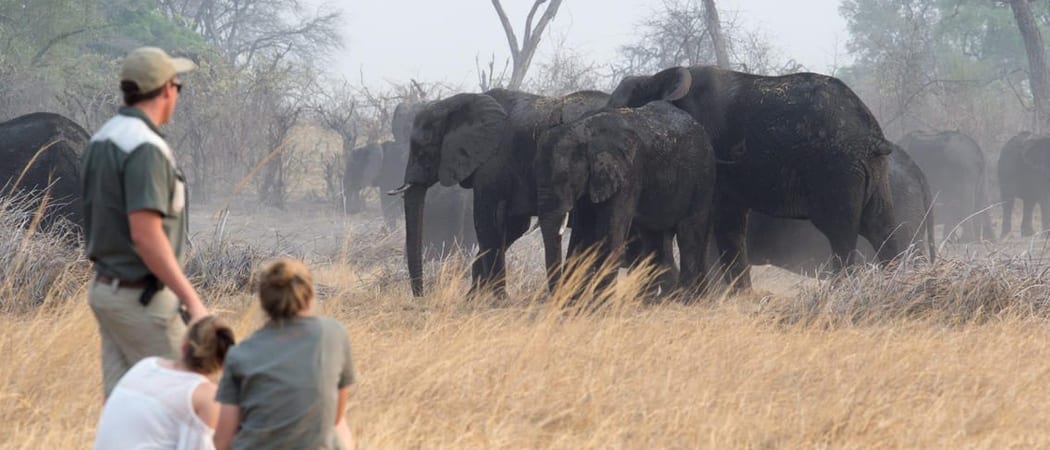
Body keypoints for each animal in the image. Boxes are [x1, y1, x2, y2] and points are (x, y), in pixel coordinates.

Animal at [392, 89, 610, 297]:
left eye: (422, 151)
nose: (422, 297)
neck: (459, 102)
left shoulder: (493, 164)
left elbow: (487, 221)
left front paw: (496, 300)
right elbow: (514, 226)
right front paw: (473, 298)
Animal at [535, 101, 716, 295]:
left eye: (564, 178)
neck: (583, 130)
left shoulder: (628, 173)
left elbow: (611, 232)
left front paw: (601, 299)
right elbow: (582, 231)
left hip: (702, 179)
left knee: (689, 236)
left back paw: (683, 298)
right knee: (655, 241)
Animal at [608, 66, 906, 290]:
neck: (658, 78)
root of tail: (871, 132)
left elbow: (721, 222)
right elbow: (731, 222)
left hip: (837, 170)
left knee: (841, 233)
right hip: (871, 170)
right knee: (882, 227)